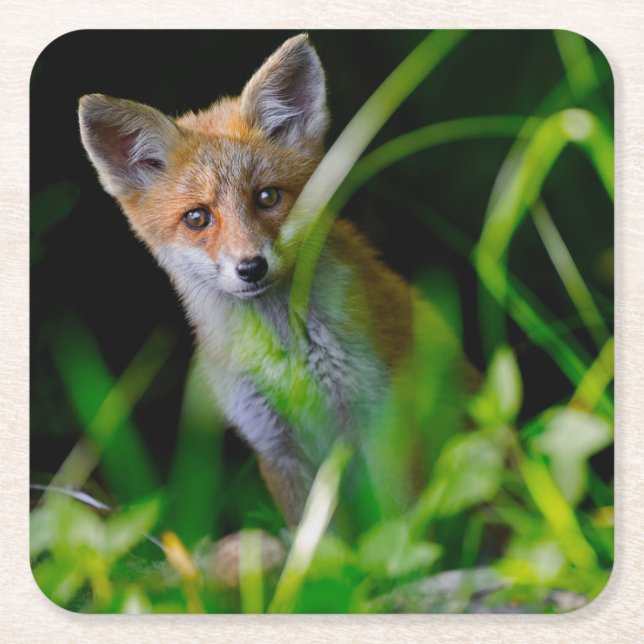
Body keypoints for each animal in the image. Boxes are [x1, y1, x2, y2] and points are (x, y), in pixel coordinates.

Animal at [78, 34, 466, 532]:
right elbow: (320, 542)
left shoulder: (382, 419)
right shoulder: (274, 446)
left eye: (267, 197)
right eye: (197, 218)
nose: (251, 267)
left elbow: (396, 524)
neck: (288, 356)